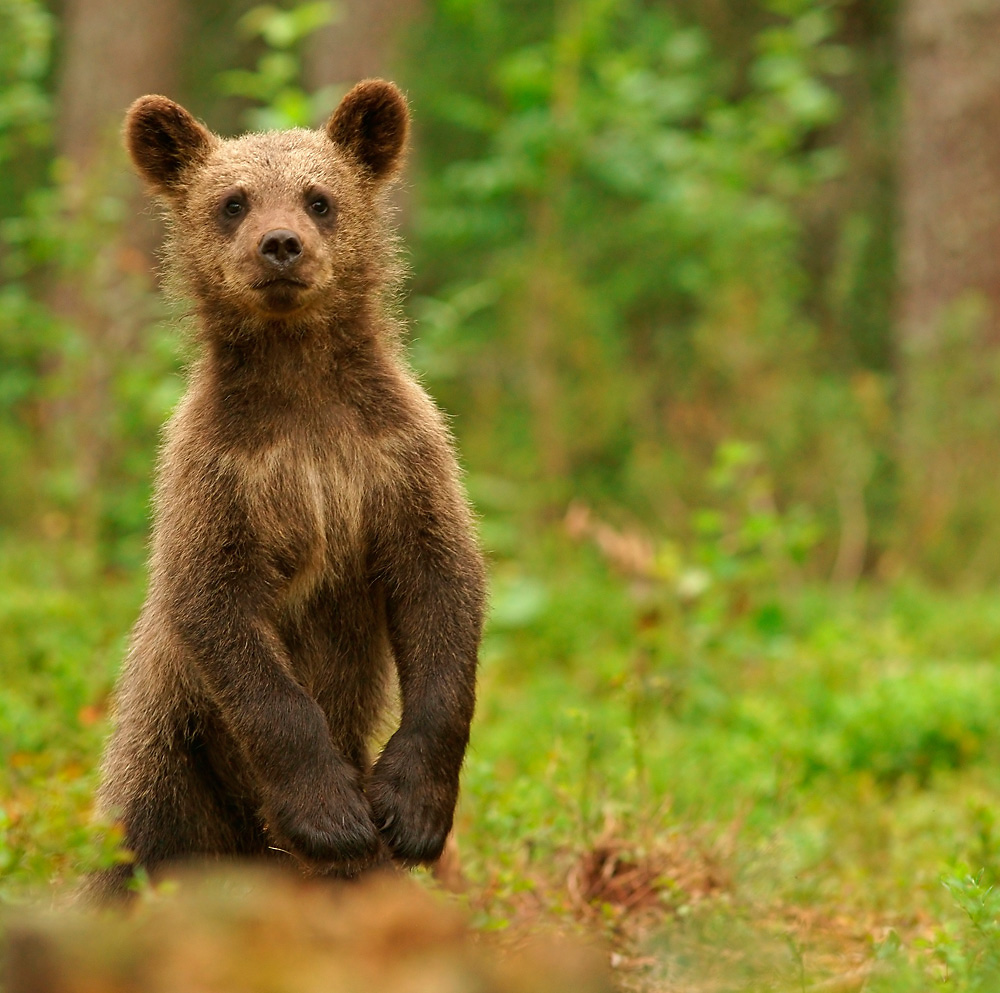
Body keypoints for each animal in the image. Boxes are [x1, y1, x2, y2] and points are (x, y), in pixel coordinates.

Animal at [88, 77, 486, 900]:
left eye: (319, 198)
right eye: (233, 201)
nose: (280, 245)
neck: (301, 387)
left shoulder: (398, 456)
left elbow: (442, 586)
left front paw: (411, 809)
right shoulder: (219, 476)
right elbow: (224, 613)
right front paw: (330, 814)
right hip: (165, 760)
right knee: (128, 855)